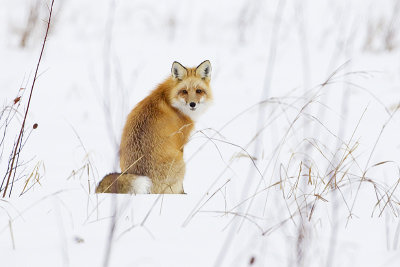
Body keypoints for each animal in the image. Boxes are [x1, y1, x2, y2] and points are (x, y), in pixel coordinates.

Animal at [95, 60, 212, 195]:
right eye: (184, 91)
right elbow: (181, 187)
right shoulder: (180, 143)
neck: (170, 99)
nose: (192, 104)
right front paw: (183, 194)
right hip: (180, 163)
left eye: (199, 91)